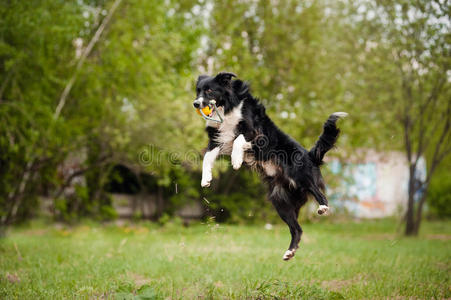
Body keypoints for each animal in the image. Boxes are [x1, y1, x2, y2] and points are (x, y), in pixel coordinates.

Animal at [192, 72, 348, 260]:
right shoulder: (217, 139)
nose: (196, 103)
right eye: (198, 90)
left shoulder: (254, 132)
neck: (227, 108)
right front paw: (206, 179)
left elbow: (238, 140)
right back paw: (290, 252)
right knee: (297, 228)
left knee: (318, 192)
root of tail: (310, 156)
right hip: (280, 202)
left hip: (299, 174)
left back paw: (323, 207)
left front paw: (236, 160)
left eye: (209, 90)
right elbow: (207, 158)